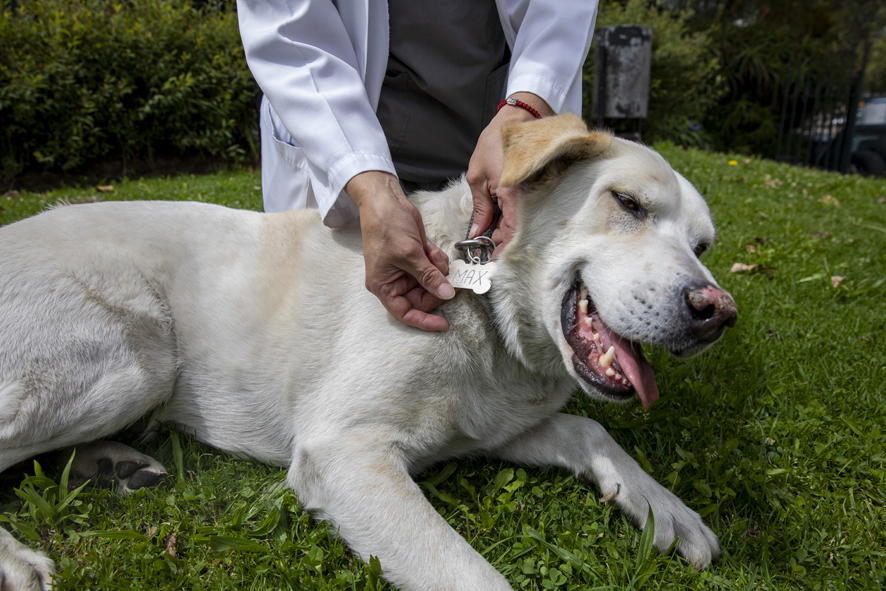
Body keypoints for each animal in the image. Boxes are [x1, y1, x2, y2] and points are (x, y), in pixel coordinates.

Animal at [0, 113, 736, 588]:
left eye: (702, 246)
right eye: (628, 203)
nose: (717, 313)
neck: (489, 318)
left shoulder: (491, 430)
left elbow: (589, 429)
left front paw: (665, 507)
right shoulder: (343, 453)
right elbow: (476, 577)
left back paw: (114, 465)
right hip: (137, 359)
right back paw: (18, 560)